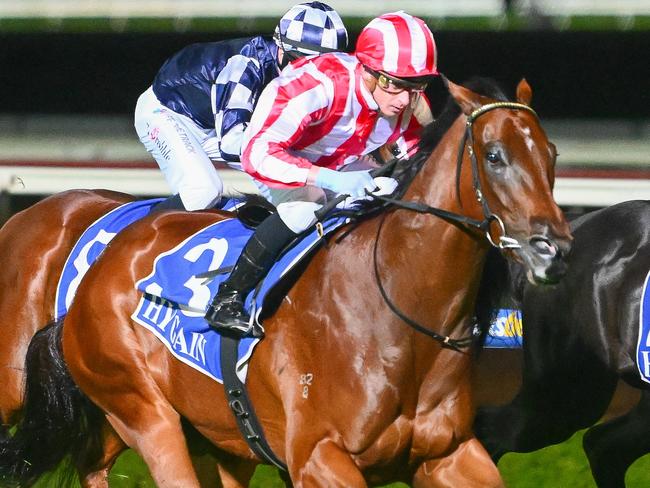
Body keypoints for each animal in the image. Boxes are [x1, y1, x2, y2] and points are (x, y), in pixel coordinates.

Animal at [0, 78, 568, 486]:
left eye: (552, 154)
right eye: (494, 155)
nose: (555, 249)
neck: (395, 308)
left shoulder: (449, 453)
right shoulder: (319, 458)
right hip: (140, 410)